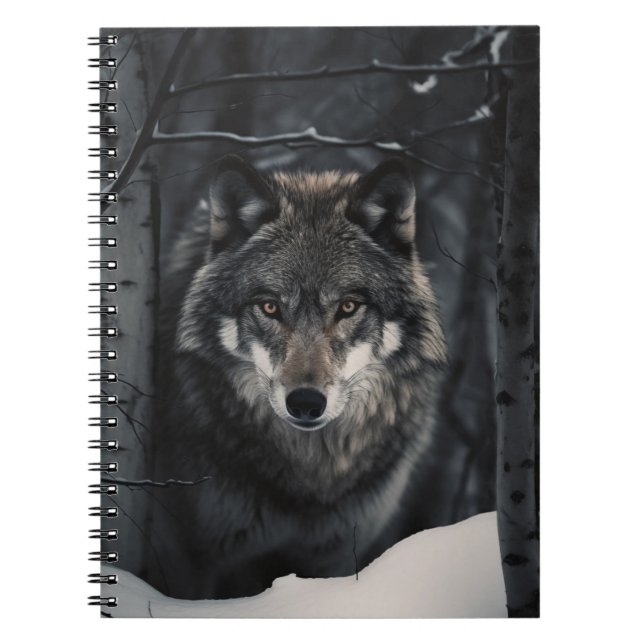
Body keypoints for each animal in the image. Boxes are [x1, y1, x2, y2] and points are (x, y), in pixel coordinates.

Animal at [146, 155, 447, 600]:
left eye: (348, 306)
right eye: (270, 307)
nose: (305, 403)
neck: (310, 476)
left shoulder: (336, 555)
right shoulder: (192, 558)